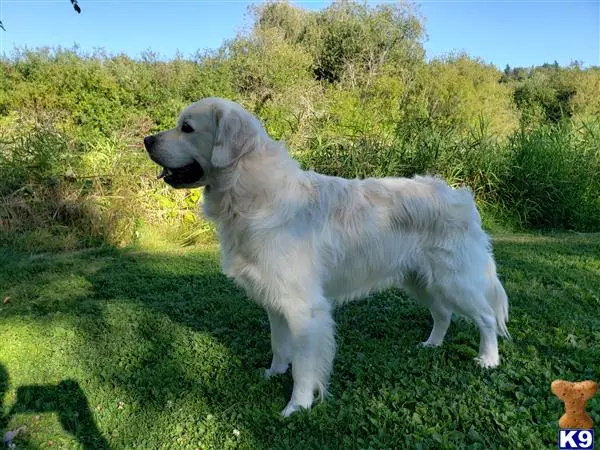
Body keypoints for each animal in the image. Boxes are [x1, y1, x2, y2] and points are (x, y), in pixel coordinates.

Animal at [142, 97, 510, 418]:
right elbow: (279, 345)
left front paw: (297, 406)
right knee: (443, 314)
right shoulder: (275, 300)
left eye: (187, 127)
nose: (146, 140)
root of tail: (461, 196)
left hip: (456, 280)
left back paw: (488, 360)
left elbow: (304, 367)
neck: (250, 194)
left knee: (486, 317)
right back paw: (431, 345)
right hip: (420, 281)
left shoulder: (305, 308)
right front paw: (274, 373)